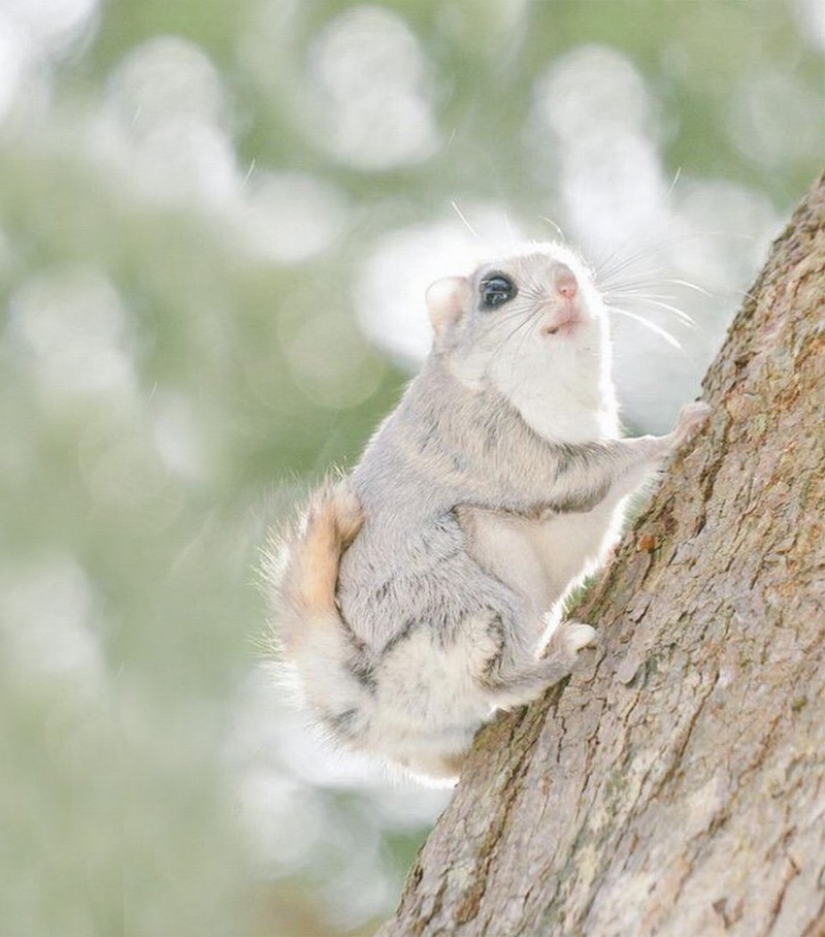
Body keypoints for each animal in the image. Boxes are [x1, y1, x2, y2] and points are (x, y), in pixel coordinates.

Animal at [267, 242, 711, 784]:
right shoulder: (491, 442)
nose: (568, 285)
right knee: (498, 679)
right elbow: (583, 473)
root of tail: (367, 695)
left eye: (576, 265)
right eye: (496, 292)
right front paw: (677, 432)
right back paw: (557, 655)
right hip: (476, 605)